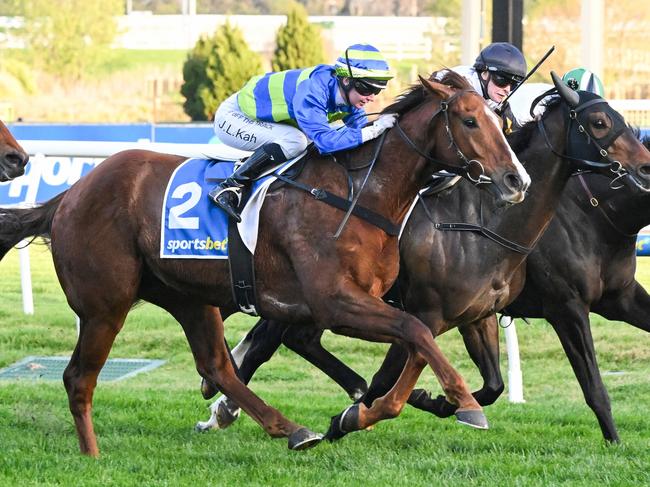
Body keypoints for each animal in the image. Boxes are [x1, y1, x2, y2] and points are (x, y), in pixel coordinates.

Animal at [0, 72, 528, 458]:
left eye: (500, 121)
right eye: (469, 122)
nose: (515, 179)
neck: (359, 196)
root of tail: (70, 194)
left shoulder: (374, 302)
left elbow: (416, 342)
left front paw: (377, 409)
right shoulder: (336, 304)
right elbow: (416, 334)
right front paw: (463, 403)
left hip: (189, 297)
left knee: (217, 366)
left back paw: (292, 429)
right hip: (104, 305)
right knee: (79, 377)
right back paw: (92, 455)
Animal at [195, 74, 648, 440]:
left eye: (623, 119)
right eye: (599, 122)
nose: (645, 168)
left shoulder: (484, 312)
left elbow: (492, 384)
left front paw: (436, 401)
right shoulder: (558, 305)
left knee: (288, 339)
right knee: (270, 342)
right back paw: (225, 408)